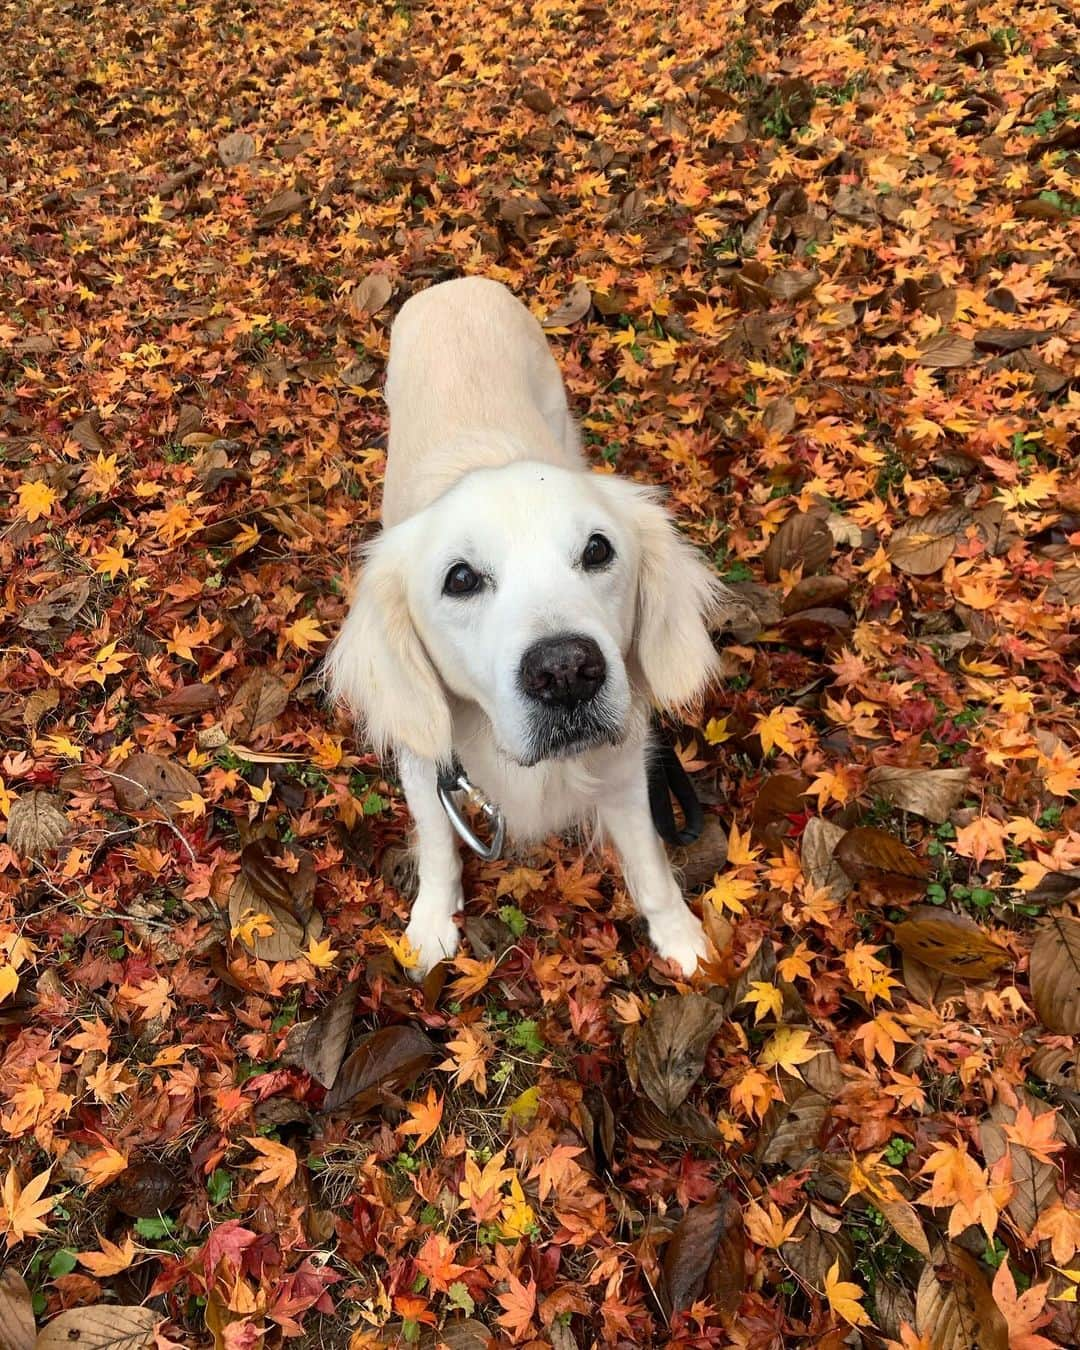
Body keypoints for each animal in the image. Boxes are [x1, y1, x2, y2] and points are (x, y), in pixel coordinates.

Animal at [325, 276, 723, 972]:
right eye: (460, 579)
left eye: (598, 550)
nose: (566, 671)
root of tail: (457, 282)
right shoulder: (426, 765)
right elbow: (438, 846)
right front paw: (432, 922)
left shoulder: (625, 768)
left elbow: (651, 868)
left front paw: (679, 937)